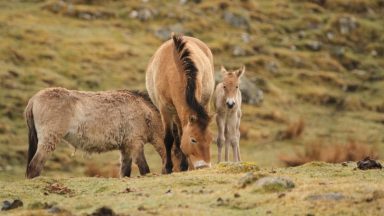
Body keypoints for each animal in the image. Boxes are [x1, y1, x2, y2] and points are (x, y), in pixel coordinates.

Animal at [24, 87, 166, 178]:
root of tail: (33, 100)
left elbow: (125, 172)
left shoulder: (126, 148)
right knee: (34, 167)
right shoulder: (136, 144)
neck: (144, 111)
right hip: (48, 142)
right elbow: (144, 169)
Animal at [146, 34, 214, 173]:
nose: (204, 166)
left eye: (211, 139)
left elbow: (181, 135)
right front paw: (168, 167)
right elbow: (168, 138)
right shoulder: (164, 109)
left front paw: (184, 165)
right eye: (193, 140)